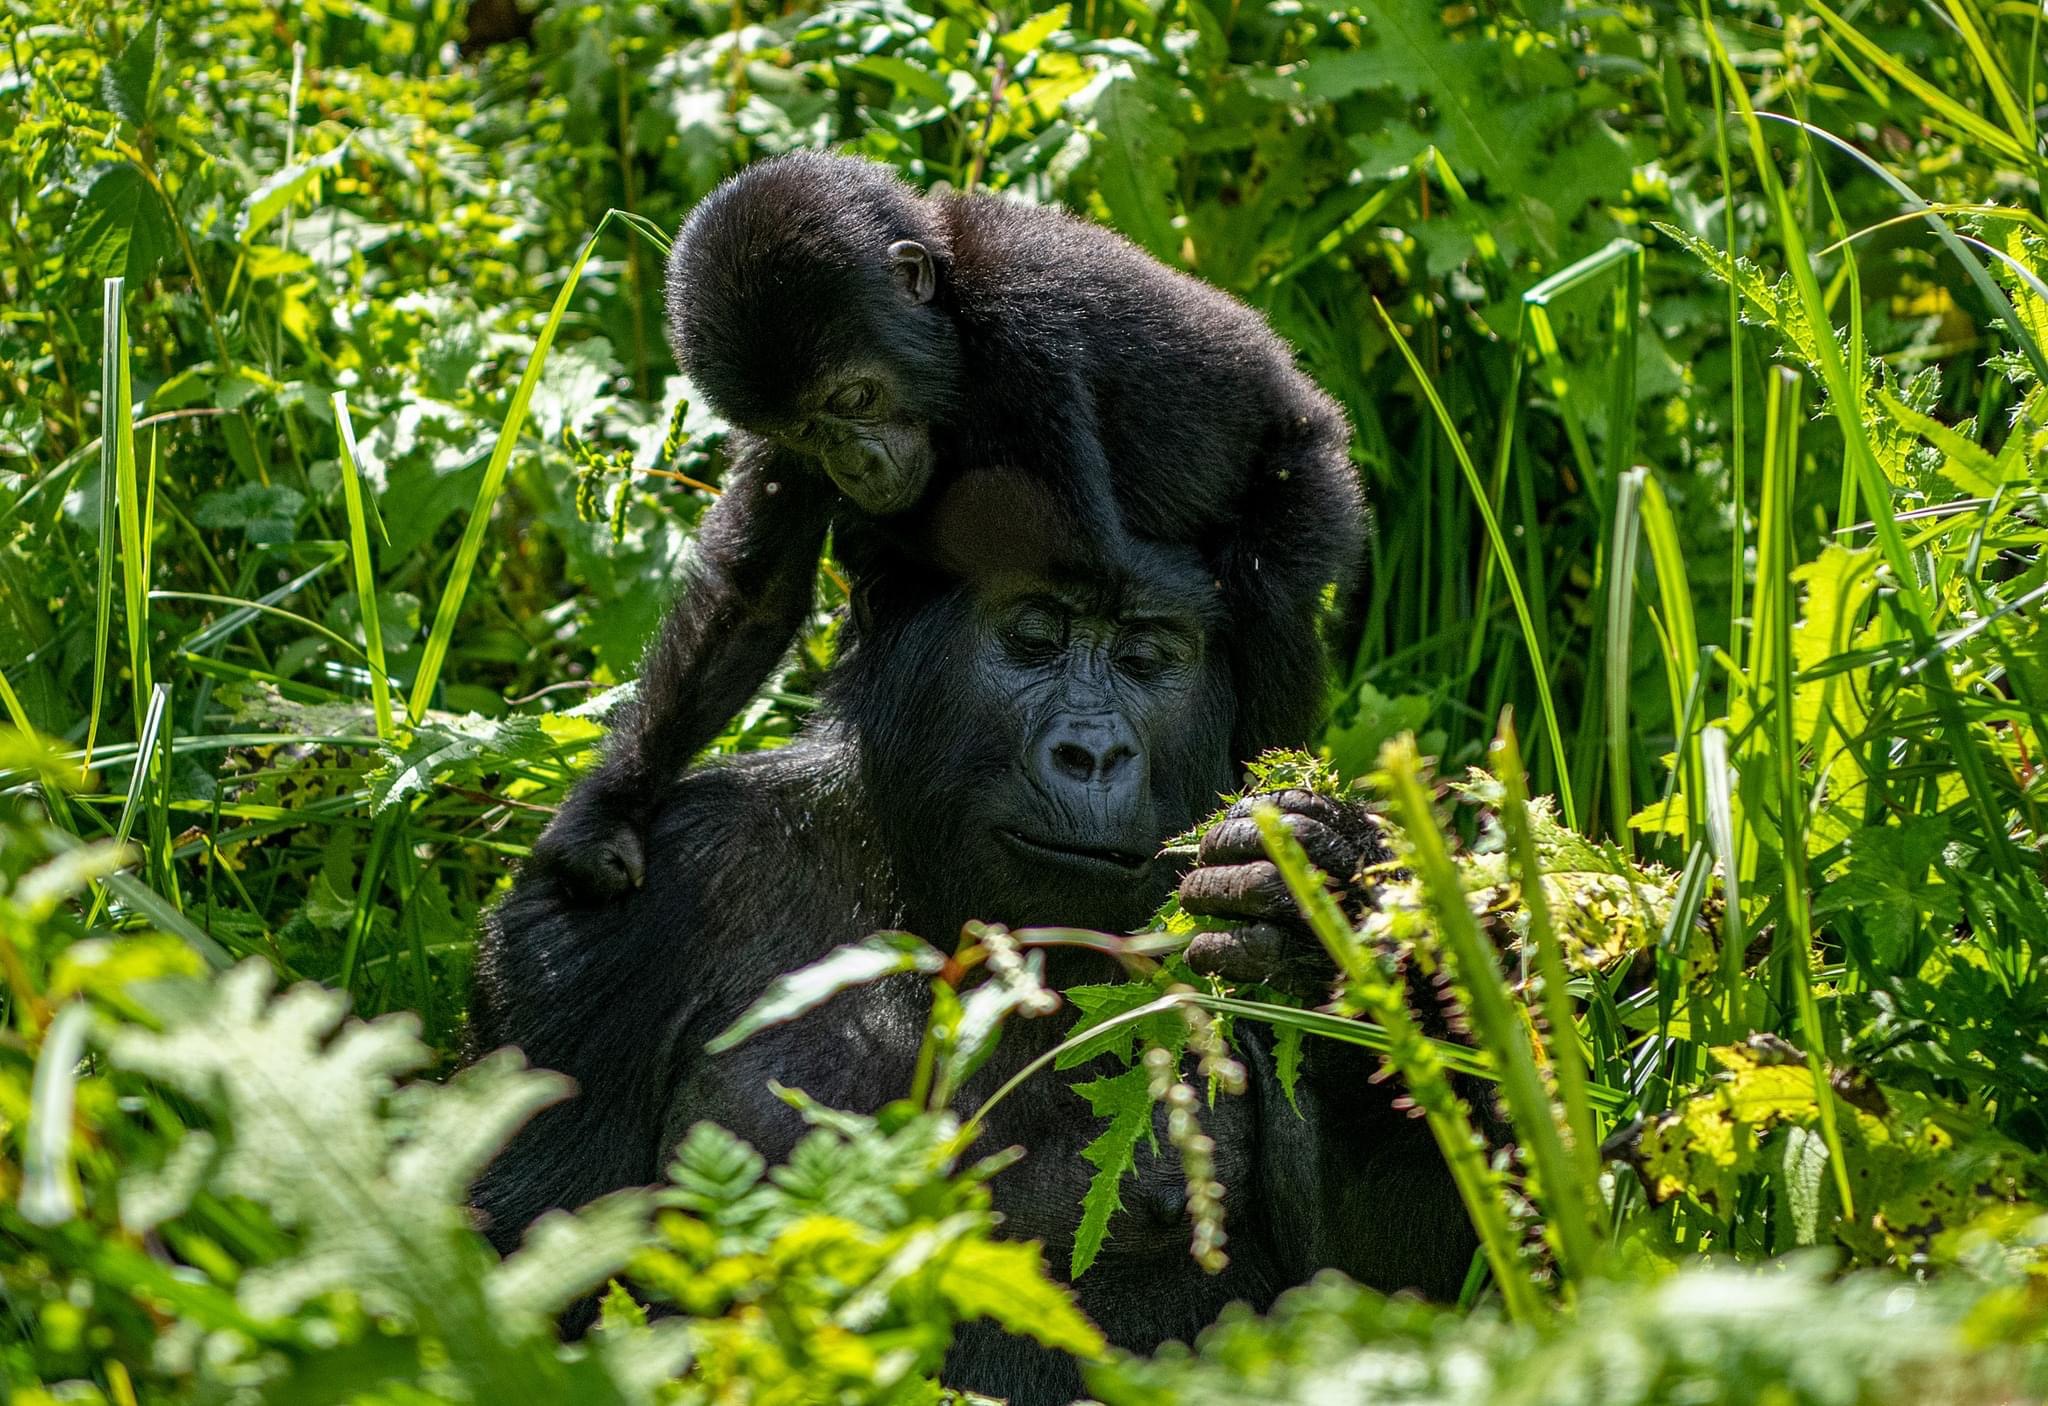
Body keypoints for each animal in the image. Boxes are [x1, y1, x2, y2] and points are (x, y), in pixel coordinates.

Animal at [471, 544, 1474, 1399]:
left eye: (1146, 658)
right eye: (1033, 640)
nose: (1093, 754)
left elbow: (1407, 1285)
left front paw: (1329, 908)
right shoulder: (612, 925)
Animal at [532, 153, 1359, 896]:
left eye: (857, 398)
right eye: (806, 430)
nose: (857, 467)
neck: (951, 297)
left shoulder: (1025, 340)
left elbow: (1071, 559)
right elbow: (756, 595)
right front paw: (605, 812)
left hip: (1311, 464)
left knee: (1271, 598)